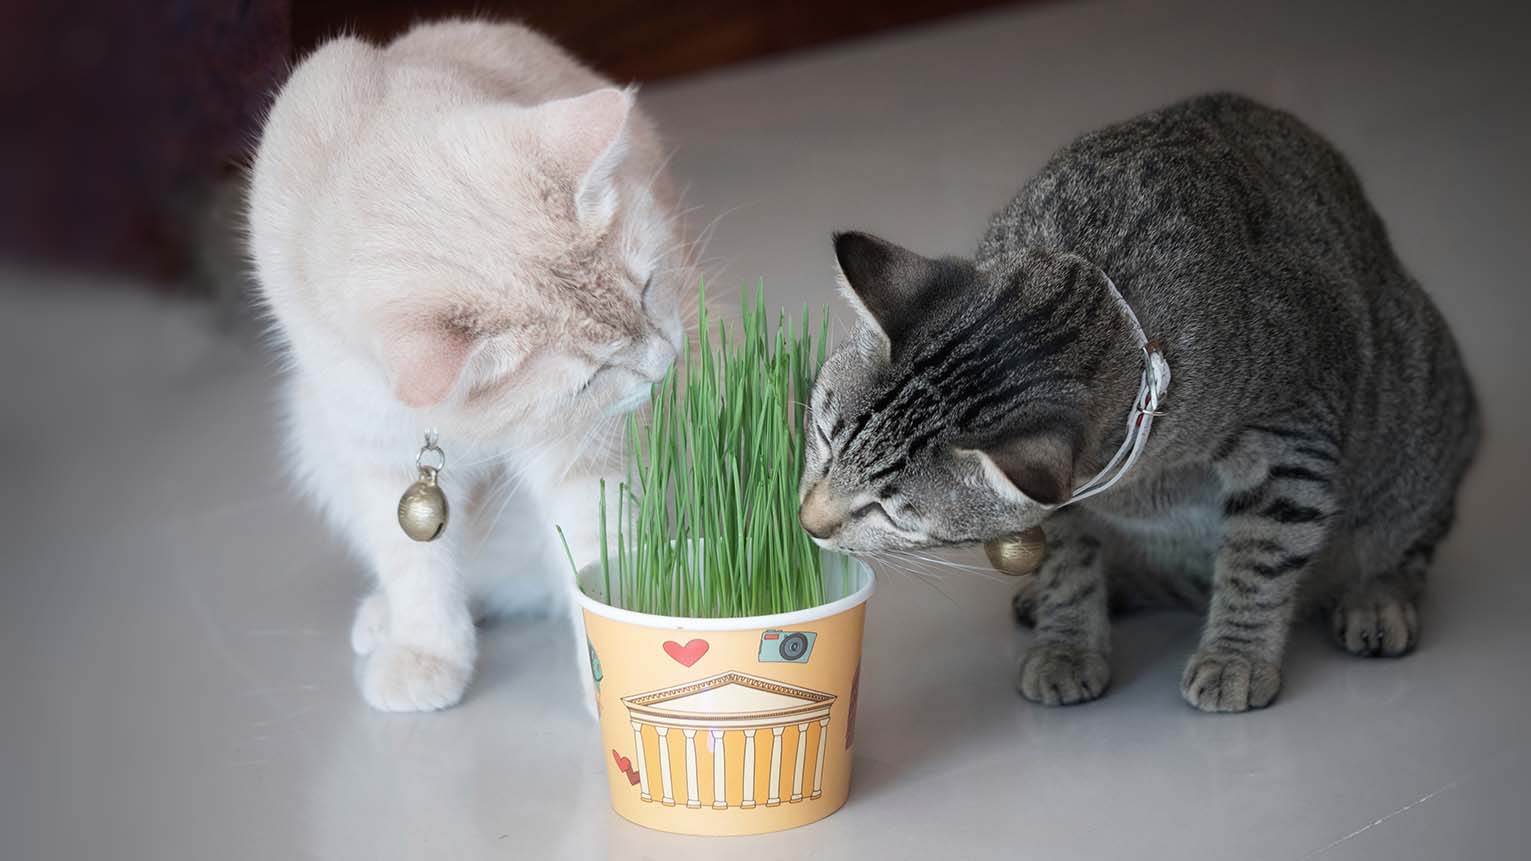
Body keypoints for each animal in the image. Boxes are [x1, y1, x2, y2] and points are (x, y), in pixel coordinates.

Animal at [249, 20, 688, 710]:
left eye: (647, 291)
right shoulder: (379, 454)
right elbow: (416, 569)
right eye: (590, 378)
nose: (667, 366)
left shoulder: (580, 453)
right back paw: (388, 619)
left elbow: (599, 553)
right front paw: (427, 653)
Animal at [808, 93, 1475, 710]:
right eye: (824, 436)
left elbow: (1259, 559)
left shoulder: (1290, 441)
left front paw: (1236, 656)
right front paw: (1067, 644)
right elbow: (1065, 566)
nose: (808, 523)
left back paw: (1376, 600)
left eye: (889, 512)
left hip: (1422, 428)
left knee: (1404, 546)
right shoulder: (1061, 500)